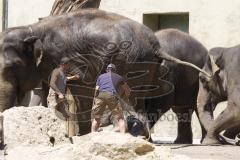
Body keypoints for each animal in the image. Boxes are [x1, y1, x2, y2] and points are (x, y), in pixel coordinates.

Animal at [0, 9, 208, 146]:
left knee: (133, 99)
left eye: (12, 67)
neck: (31, 29)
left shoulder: (71, 59)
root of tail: (157, 46)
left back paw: (137, 136)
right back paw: (142, 137)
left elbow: (81, 88)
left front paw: (82, 137)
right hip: (149, 66)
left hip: (133, 62)